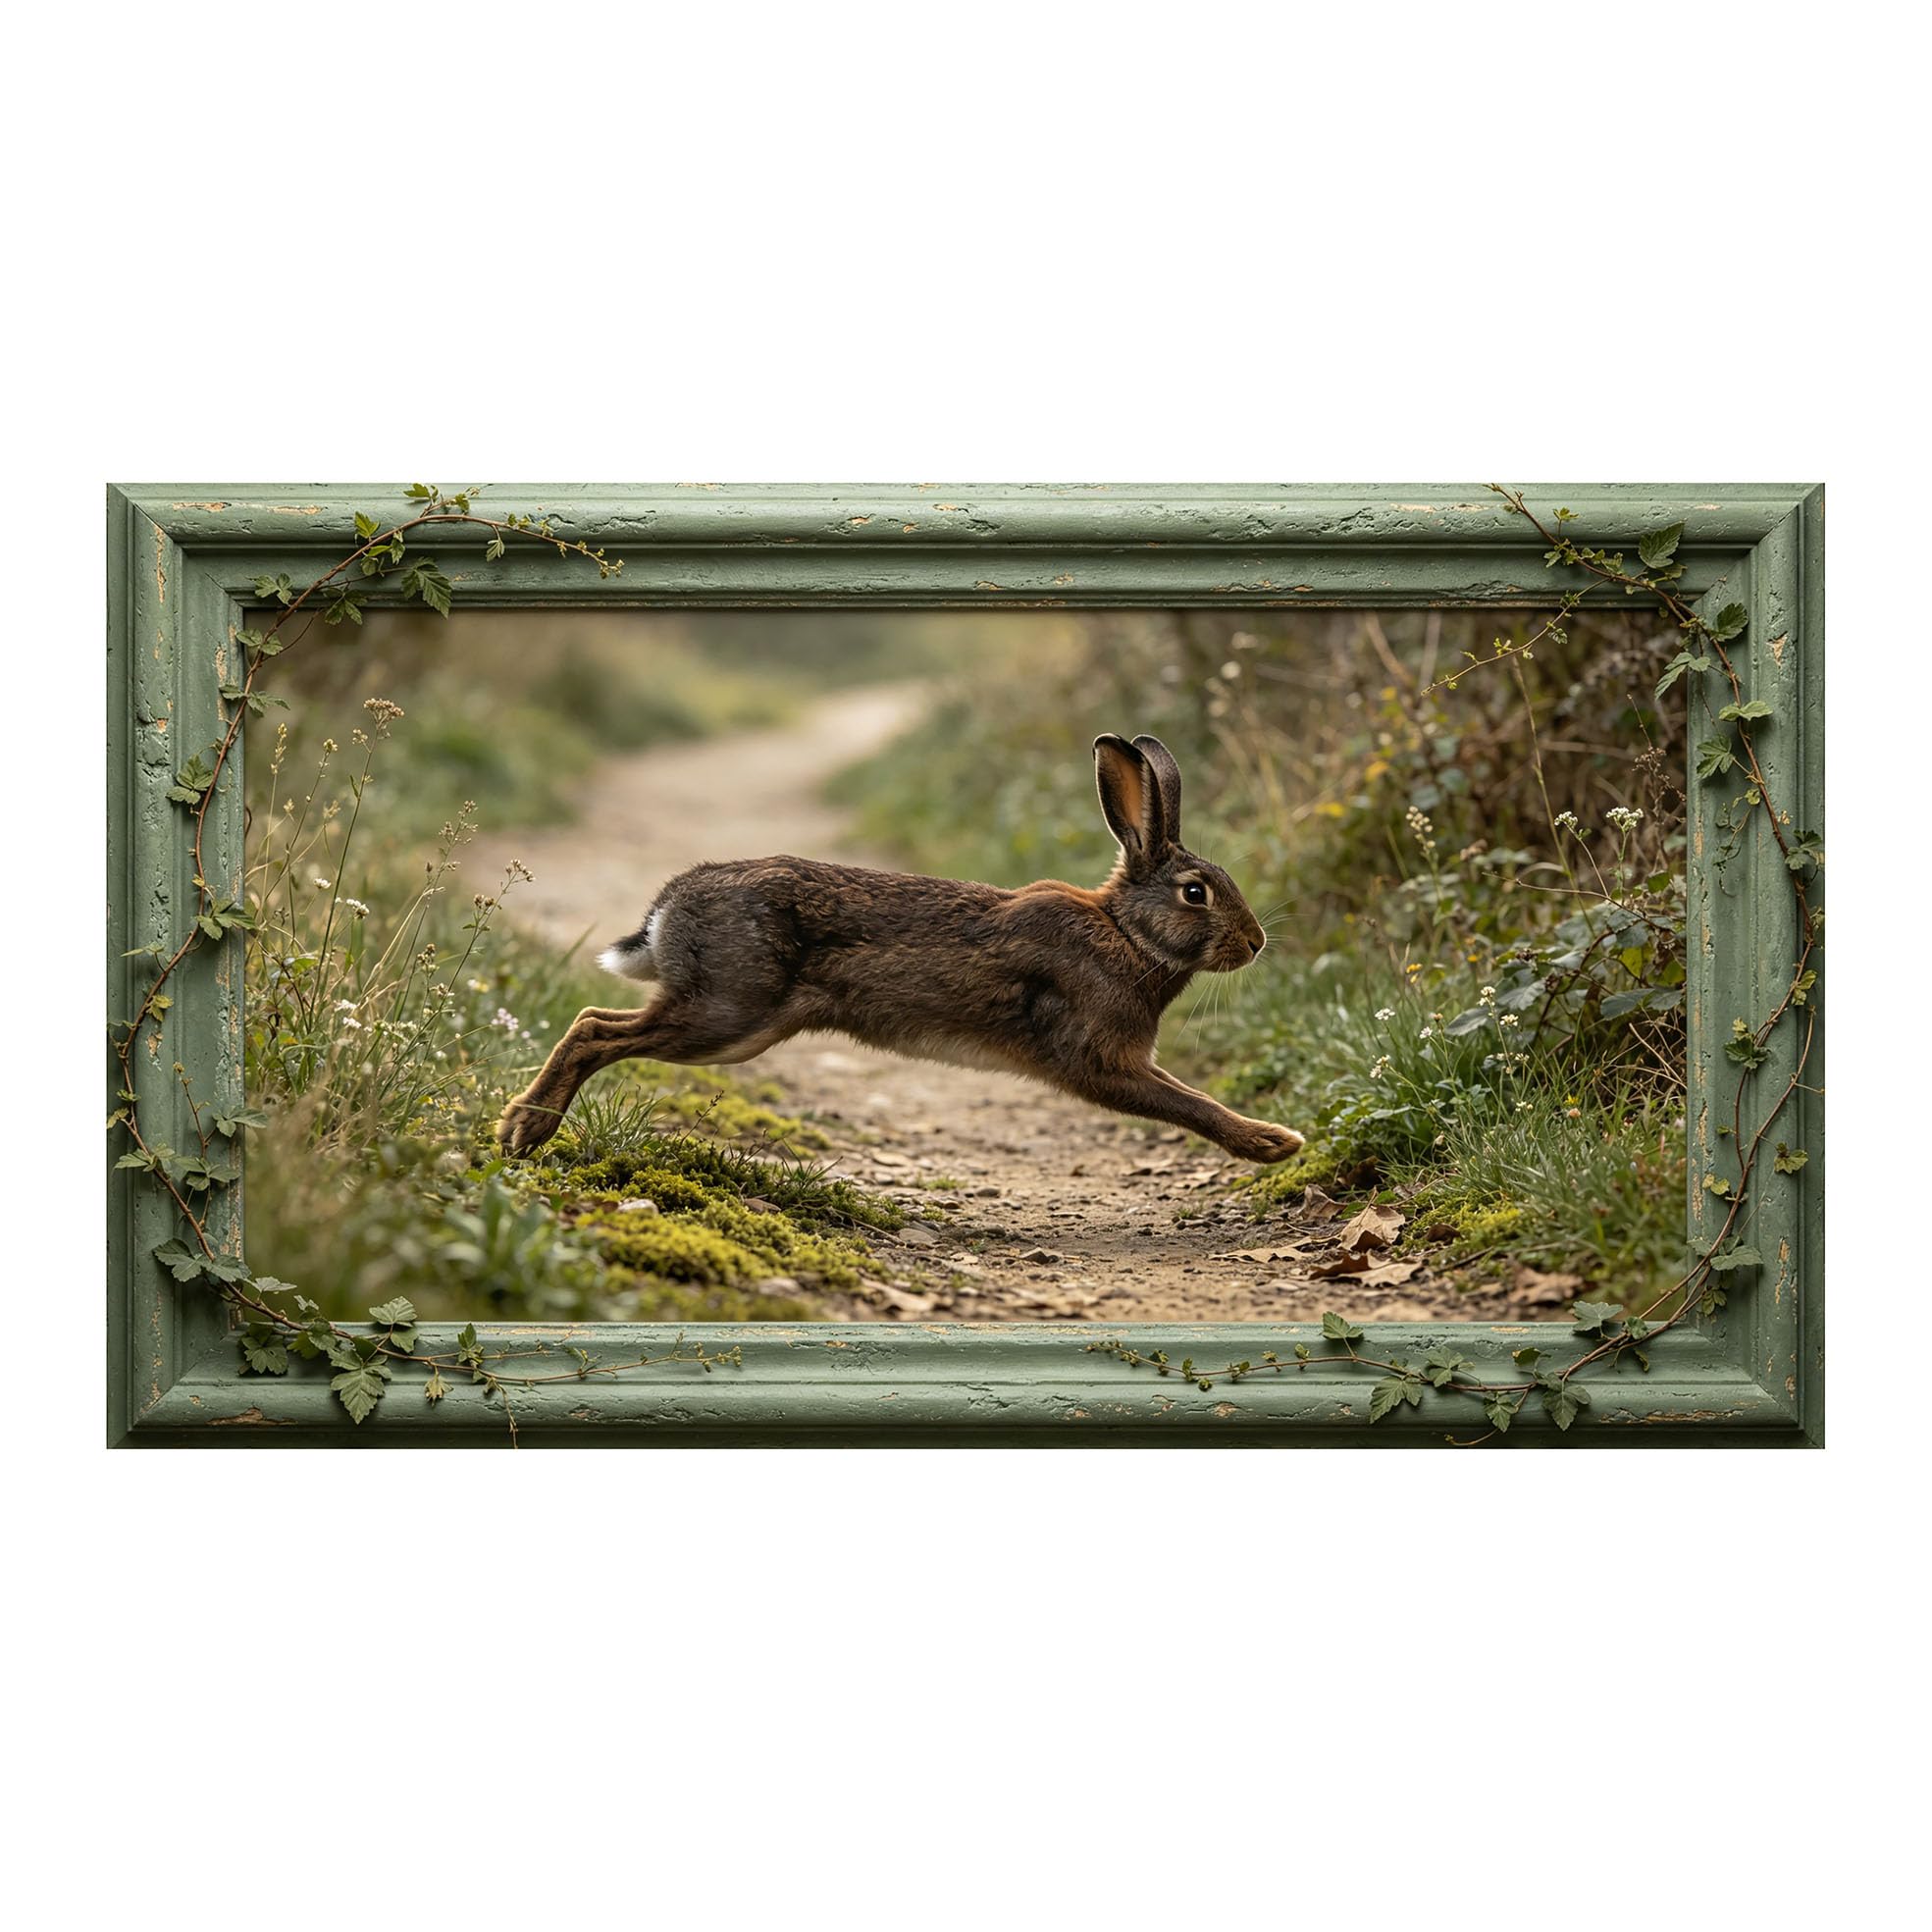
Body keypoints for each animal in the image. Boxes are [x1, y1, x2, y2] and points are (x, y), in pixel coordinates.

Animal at [498, 732, 1305, 1164]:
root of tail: (667, 908)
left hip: (732, 1022)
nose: (1255, 943)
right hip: (727, 1012)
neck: (1126, 932)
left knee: (596, 1022)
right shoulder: (1101, 1061)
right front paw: (1274, 1143)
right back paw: (523, 1130)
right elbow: (1188, 1102)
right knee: (594, 1030)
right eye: (1196, 893)